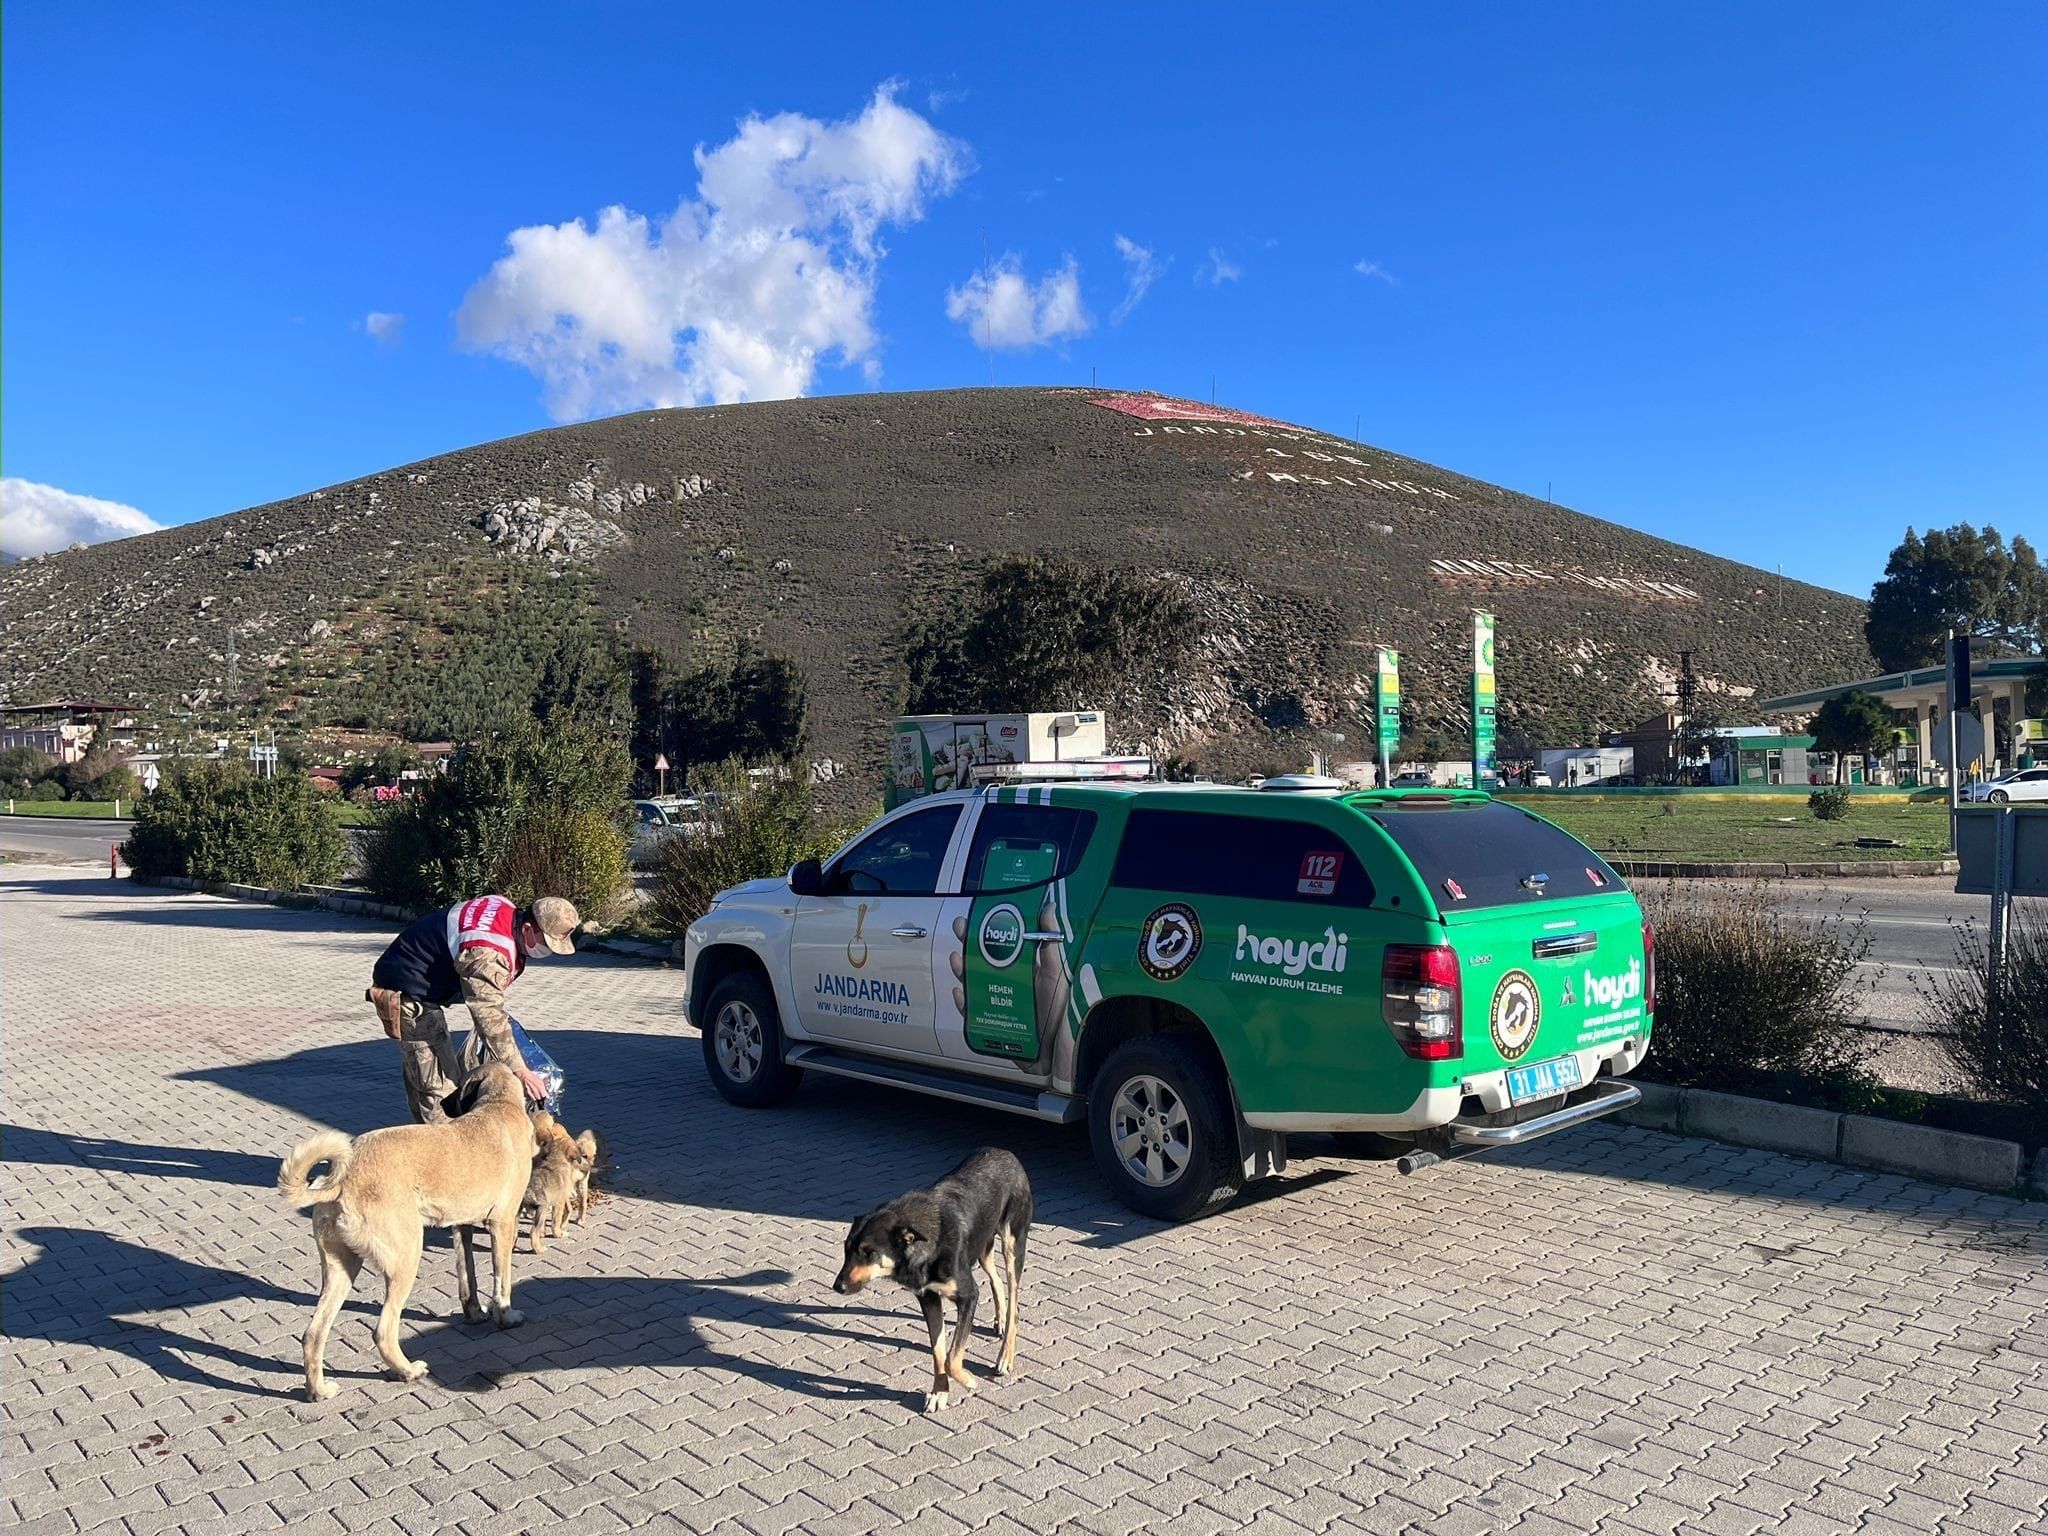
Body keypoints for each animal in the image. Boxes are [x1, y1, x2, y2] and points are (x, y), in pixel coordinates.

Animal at [278, 1064, 536, 1400]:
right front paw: (505, 1317)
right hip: (406, 1258)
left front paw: (474, 1313)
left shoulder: (460, 1228)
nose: (443, 1104)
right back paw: (407, 1371)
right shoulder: (504, 1225)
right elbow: (501, 1281)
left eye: (460, 1085)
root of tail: (343, 1180)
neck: (497, 1103)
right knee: (383, 1331)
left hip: (340, 1267)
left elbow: (467, 1278)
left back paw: (318, 1389)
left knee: (313, 1333)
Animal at [831, 1146, 1032, 1417]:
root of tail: (1005, 1152)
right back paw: (999, 1321)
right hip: (982, 1249)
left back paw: (1005, 1356)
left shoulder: (968, 1296)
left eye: (868, 1252)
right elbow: (938, 1353)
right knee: (997, 1282)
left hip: (1012, 1245)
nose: (838, 1286)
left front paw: (967, 1379)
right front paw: (939, 1393)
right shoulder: (929, 1298)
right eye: (846, 1250)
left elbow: (951, 1357)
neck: (925, 1247)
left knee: (1014, 1304)